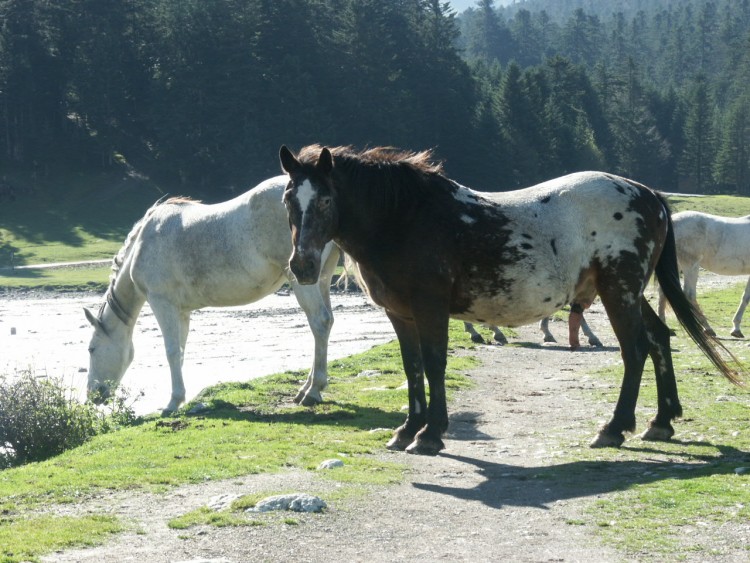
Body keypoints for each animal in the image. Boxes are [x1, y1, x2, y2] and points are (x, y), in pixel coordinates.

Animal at [83, 176, 340, 414]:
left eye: (91, 349)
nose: (92, 396)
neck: (144, 243)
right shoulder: (181, 311)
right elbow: (180, 352)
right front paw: (179, 399)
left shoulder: (161, 303)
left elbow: (171, 351)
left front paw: (172, 403)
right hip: (321, 278)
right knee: (326, 323)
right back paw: (306, 388)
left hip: (302, 279)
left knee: (319, 321)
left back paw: (313, 391)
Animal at [656, 209, 750, 338]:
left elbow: (745, 297)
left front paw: (736, 328)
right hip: (691, 266)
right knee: (689, 294)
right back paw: (707, 328)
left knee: (663, 293)